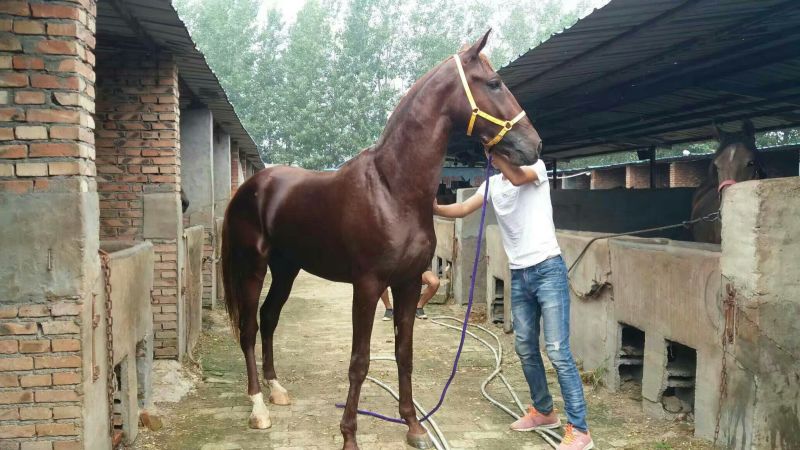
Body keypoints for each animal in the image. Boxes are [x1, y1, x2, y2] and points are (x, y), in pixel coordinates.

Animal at [220, 30, 542, 450]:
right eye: (494, 83)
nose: (533, 146)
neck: (392, 189)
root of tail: (250, 187)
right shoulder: (368, 286)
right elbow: (360, 361)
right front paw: (349, 436)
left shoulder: (407, 283)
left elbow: (404, 353)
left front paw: (414, 426)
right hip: (254, 267)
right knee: (248, 329)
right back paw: (258, 407)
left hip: (287, 268)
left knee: (269, 317)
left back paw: (277, 390)